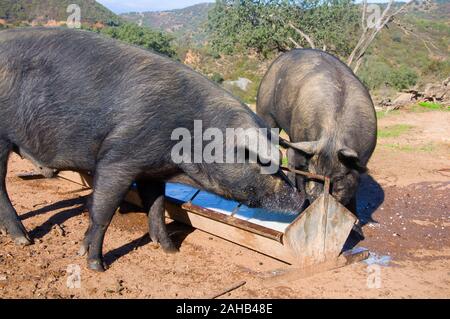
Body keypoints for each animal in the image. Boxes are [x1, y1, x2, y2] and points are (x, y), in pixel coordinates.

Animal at [1, 28, 304, 272]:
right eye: (262, 161)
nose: (300, 200)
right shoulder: (118, 158)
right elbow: (103, 210)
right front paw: (95, 265)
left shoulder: (152, 170)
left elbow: (156, 207)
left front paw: (171, 250)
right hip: (2, 139)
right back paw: (25, 240)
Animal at [256, 48, 376, 232]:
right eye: (312, 176)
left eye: (338, 181)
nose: (317, 197)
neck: (333, 136)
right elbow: (299, 168)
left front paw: (356, 227)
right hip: (265, 109)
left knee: (290, 151)